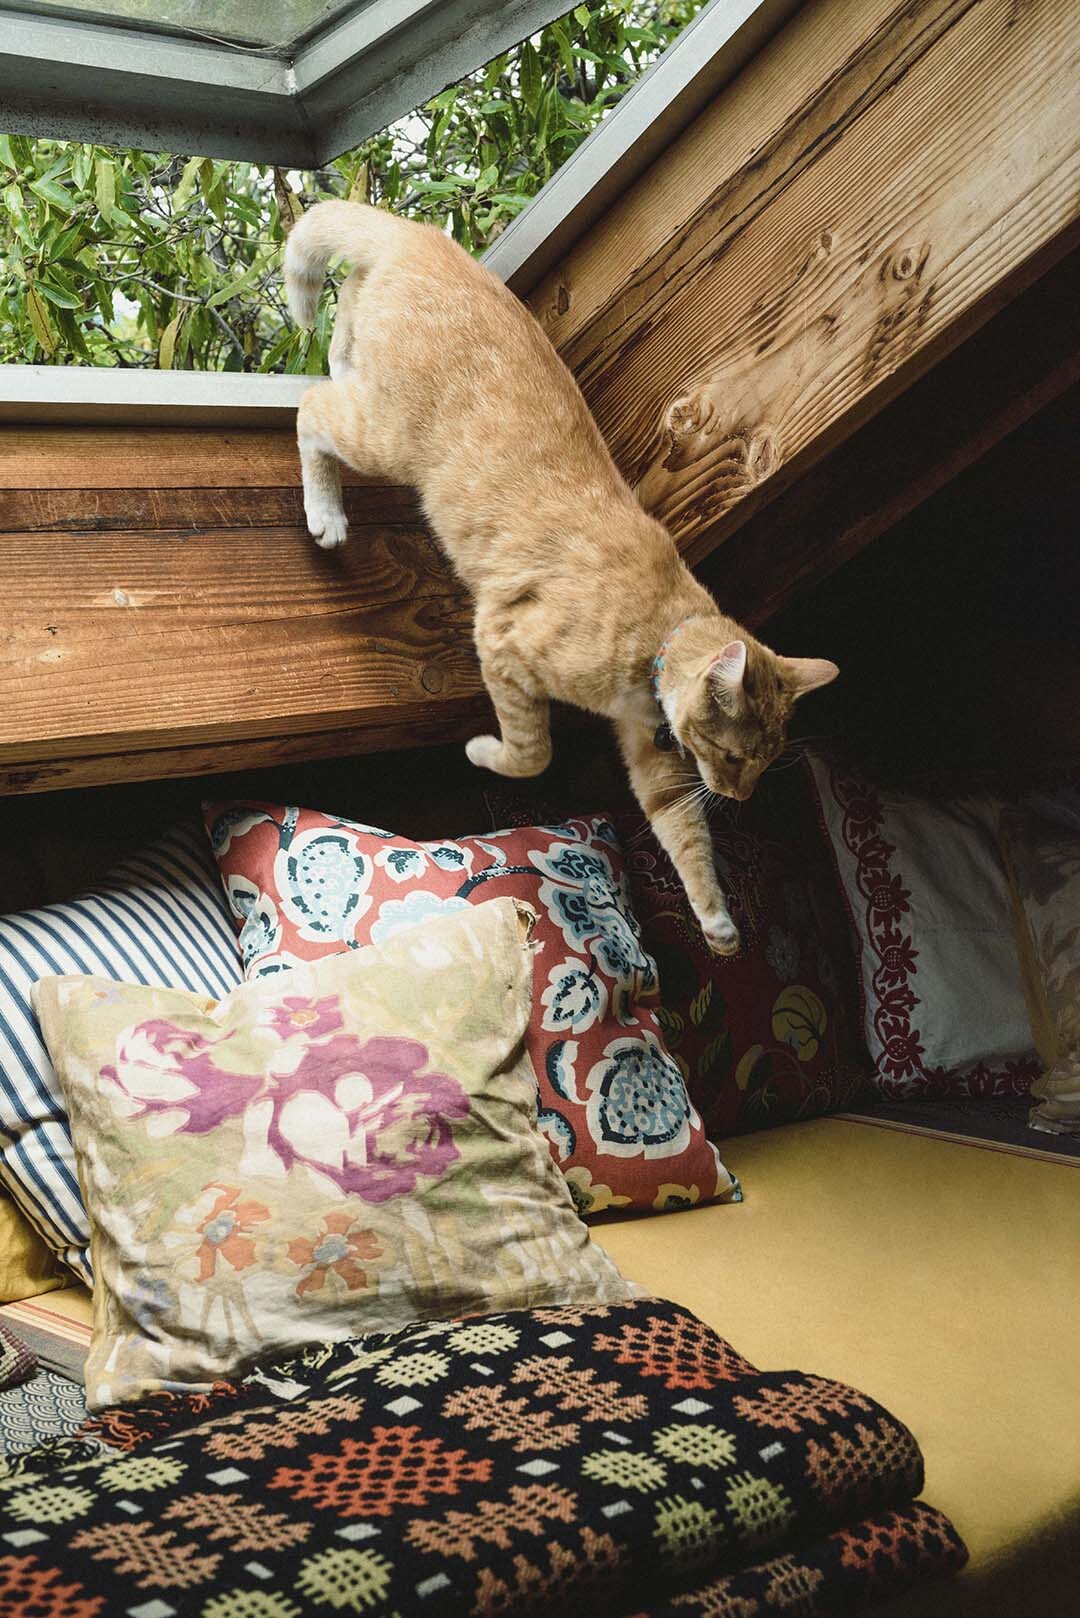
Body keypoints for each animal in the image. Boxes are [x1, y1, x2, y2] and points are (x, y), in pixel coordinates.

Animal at [284, 207, 835, 951]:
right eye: (737, 756)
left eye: (763, 762)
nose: (740, 797)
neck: (661, 636)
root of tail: (416, 233)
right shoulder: (505, 645)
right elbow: (533, 754)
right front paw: (485, 752)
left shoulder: (648, 750)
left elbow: (683, 833)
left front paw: (717, 921)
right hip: (387, 437)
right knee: (312, 408)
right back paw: (326, 514)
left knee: (337, 355)